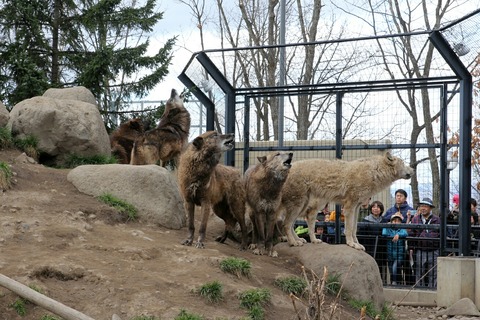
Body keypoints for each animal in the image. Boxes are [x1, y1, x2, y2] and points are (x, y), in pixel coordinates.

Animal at [280, 152, 414, 250]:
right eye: (403, 163)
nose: (413, 170)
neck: (373, 172)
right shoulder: (349, 206)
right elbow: (348, 228)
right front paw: (351, 244)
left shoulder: (357, 207)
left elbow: (354, 228)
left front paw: (357, 243)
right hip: (300, 205)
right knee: (286, 224)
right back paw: (293, 242)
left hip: (303, 206)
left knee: (293, 224)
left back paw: (304, 240)